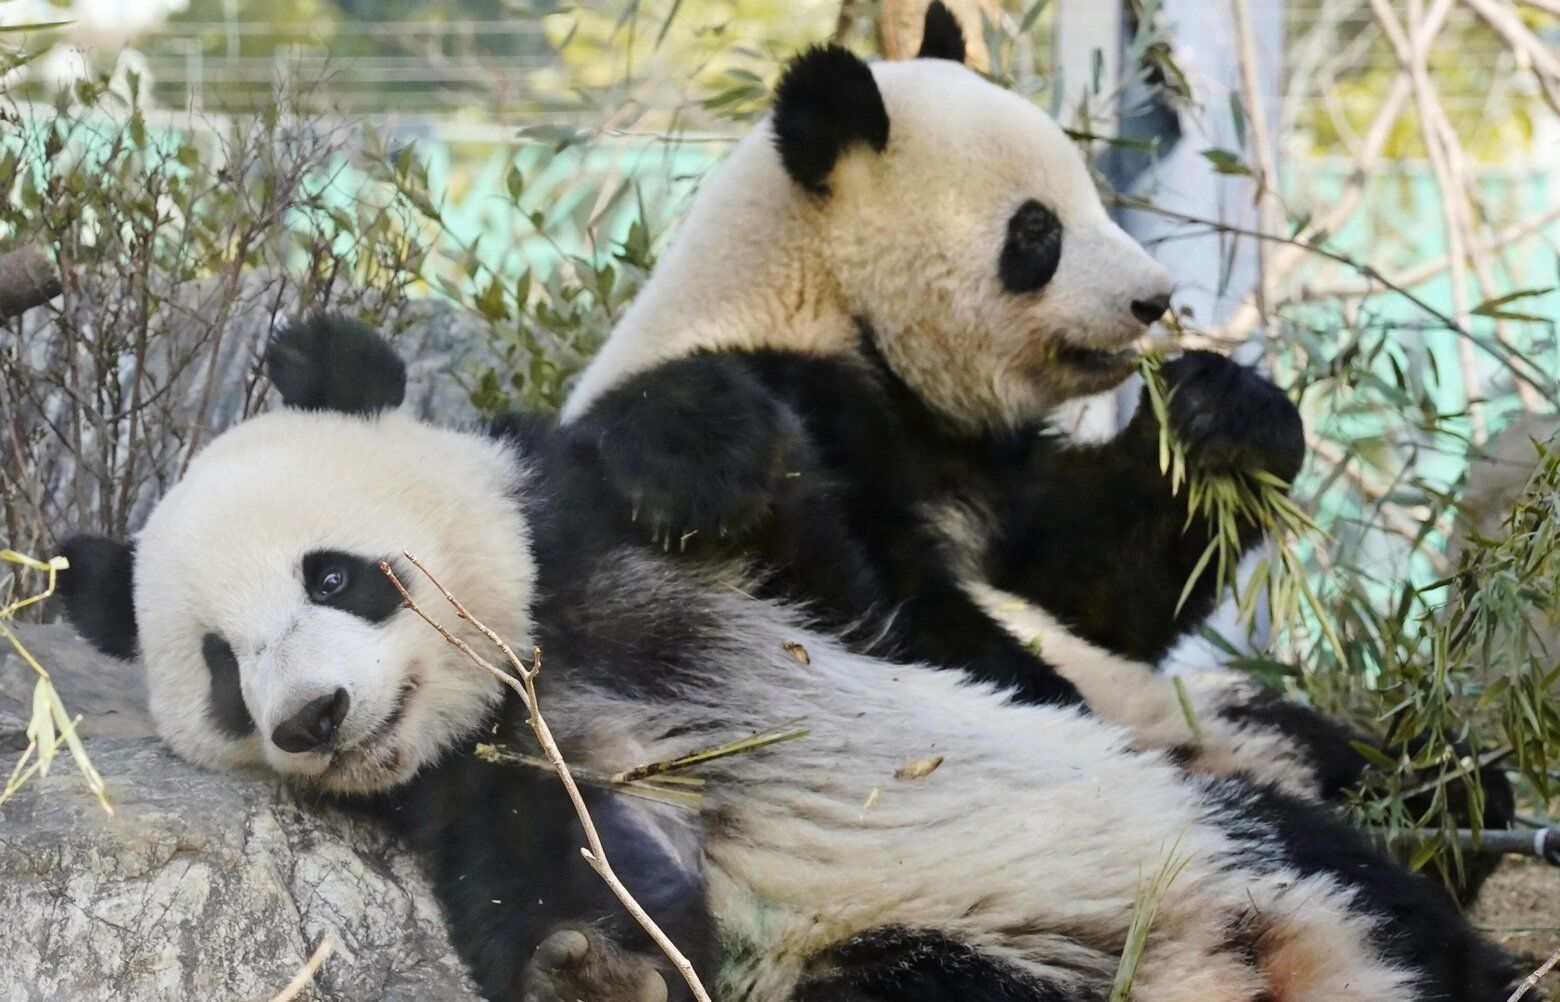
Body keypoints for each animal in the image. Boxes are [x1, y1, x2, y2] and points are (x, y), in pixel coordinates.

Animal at [56, 316, 1524, 1002]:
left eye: (334, 574)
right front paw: (597, 965)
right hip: (971, 947)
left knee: (1363, 878)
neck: (541, 652)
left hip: (1197, 831)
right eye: (222, 668)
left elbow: (891, 602)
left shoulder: (649, 555)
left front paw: (688, 441)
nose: (310, 716)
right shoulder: (495, 775)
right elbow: (578, 885)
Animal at [556, 1, 1513, 873]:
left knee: (1369, 760)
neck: (824, 300)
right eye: (1038, 230)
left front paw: (1225, 415)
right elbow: (858, 609)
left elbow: (1088, 587)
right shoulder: (790, 383)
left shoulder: (984, 461)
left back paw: (1447, 801)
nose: (1153, 299)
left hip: (1221, 708)